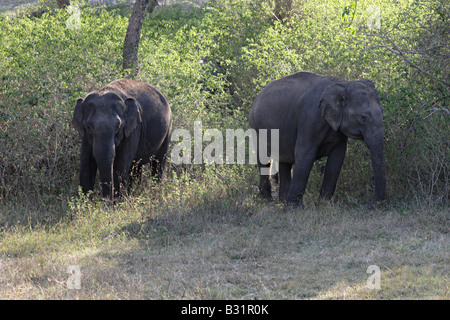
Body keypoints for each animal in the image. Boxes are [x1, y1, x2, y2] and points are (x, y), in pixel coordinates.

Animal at [250, 71, 386, 209]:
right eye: (363, 117)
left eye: (382, 112)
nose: (368, 204)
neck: (342, 84)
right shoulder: (309, 120)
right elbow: (305, 155)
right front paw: (293, 208)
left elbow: (337, 158)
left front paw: (325, 204)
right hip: (255, 126)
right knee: (264, 160)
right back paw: (267, 200)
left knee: (285, 161)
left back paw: (282, 200)